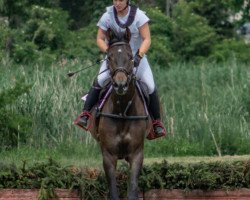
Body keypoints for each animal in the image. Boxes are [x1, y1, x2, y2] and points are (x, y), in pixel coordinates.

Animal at [88, 28, 150, 200]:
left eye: (130, 57)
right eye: (110, 57)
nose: (120, 84)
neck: (122, 111)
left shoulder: (136, 154)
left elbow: (133, 191)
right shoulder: (108, 155)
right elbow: (113, 192)